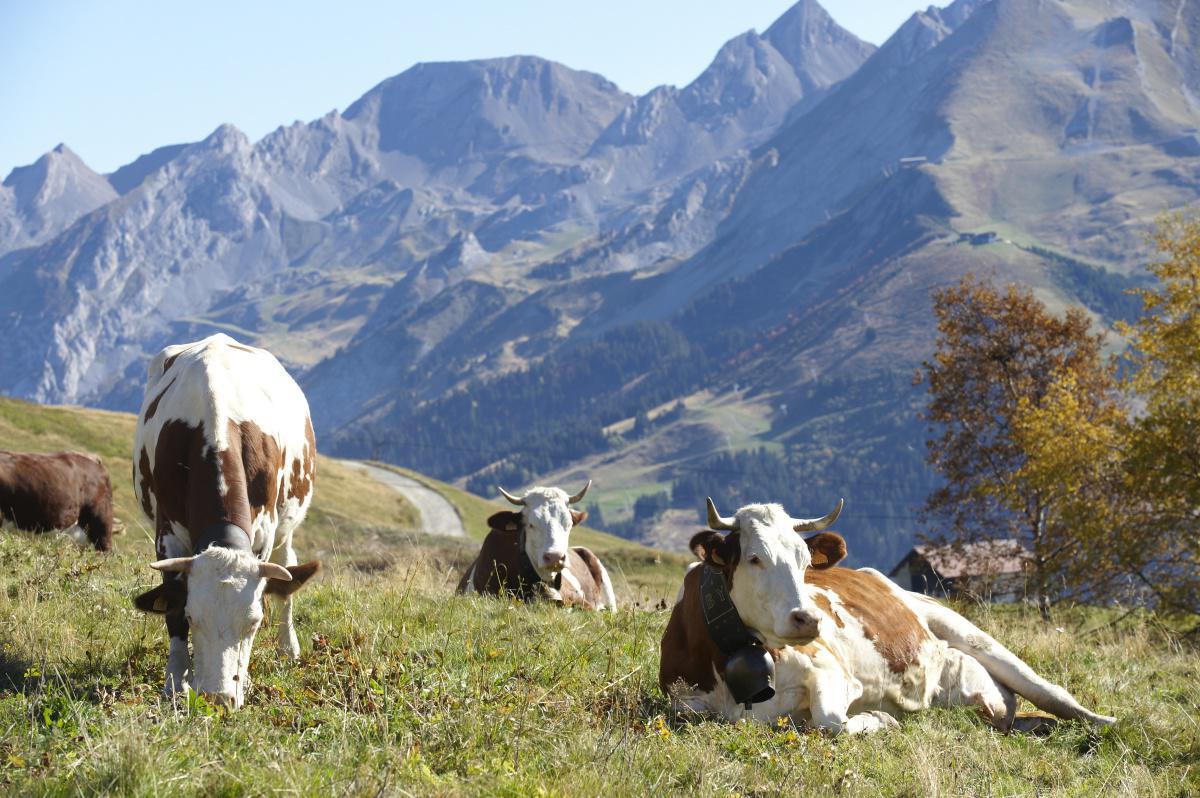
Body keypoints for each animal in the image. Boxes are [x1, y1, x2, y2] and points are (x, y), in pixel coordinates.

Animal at [132, 333, 319, 705]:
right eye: (193, 616)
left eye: (254, 622)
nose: (218, 698)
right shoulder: (167, 533)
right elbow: (172, 609)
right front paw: (175, 681)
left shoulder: (264, 532)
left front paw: (242, 680)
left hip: (287, 525)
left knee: (288, 571)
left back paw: (288, 648)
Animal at [657, 499, 1113, 734]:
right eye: (754, 558)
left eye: (804, 559)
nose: (809, 619)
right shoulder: (684, 704)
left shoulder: (833, 671)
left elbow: (831, 723)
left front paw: (876, 718)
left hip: (968, 632)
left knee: (1053, 694)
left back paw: (1107, 723)